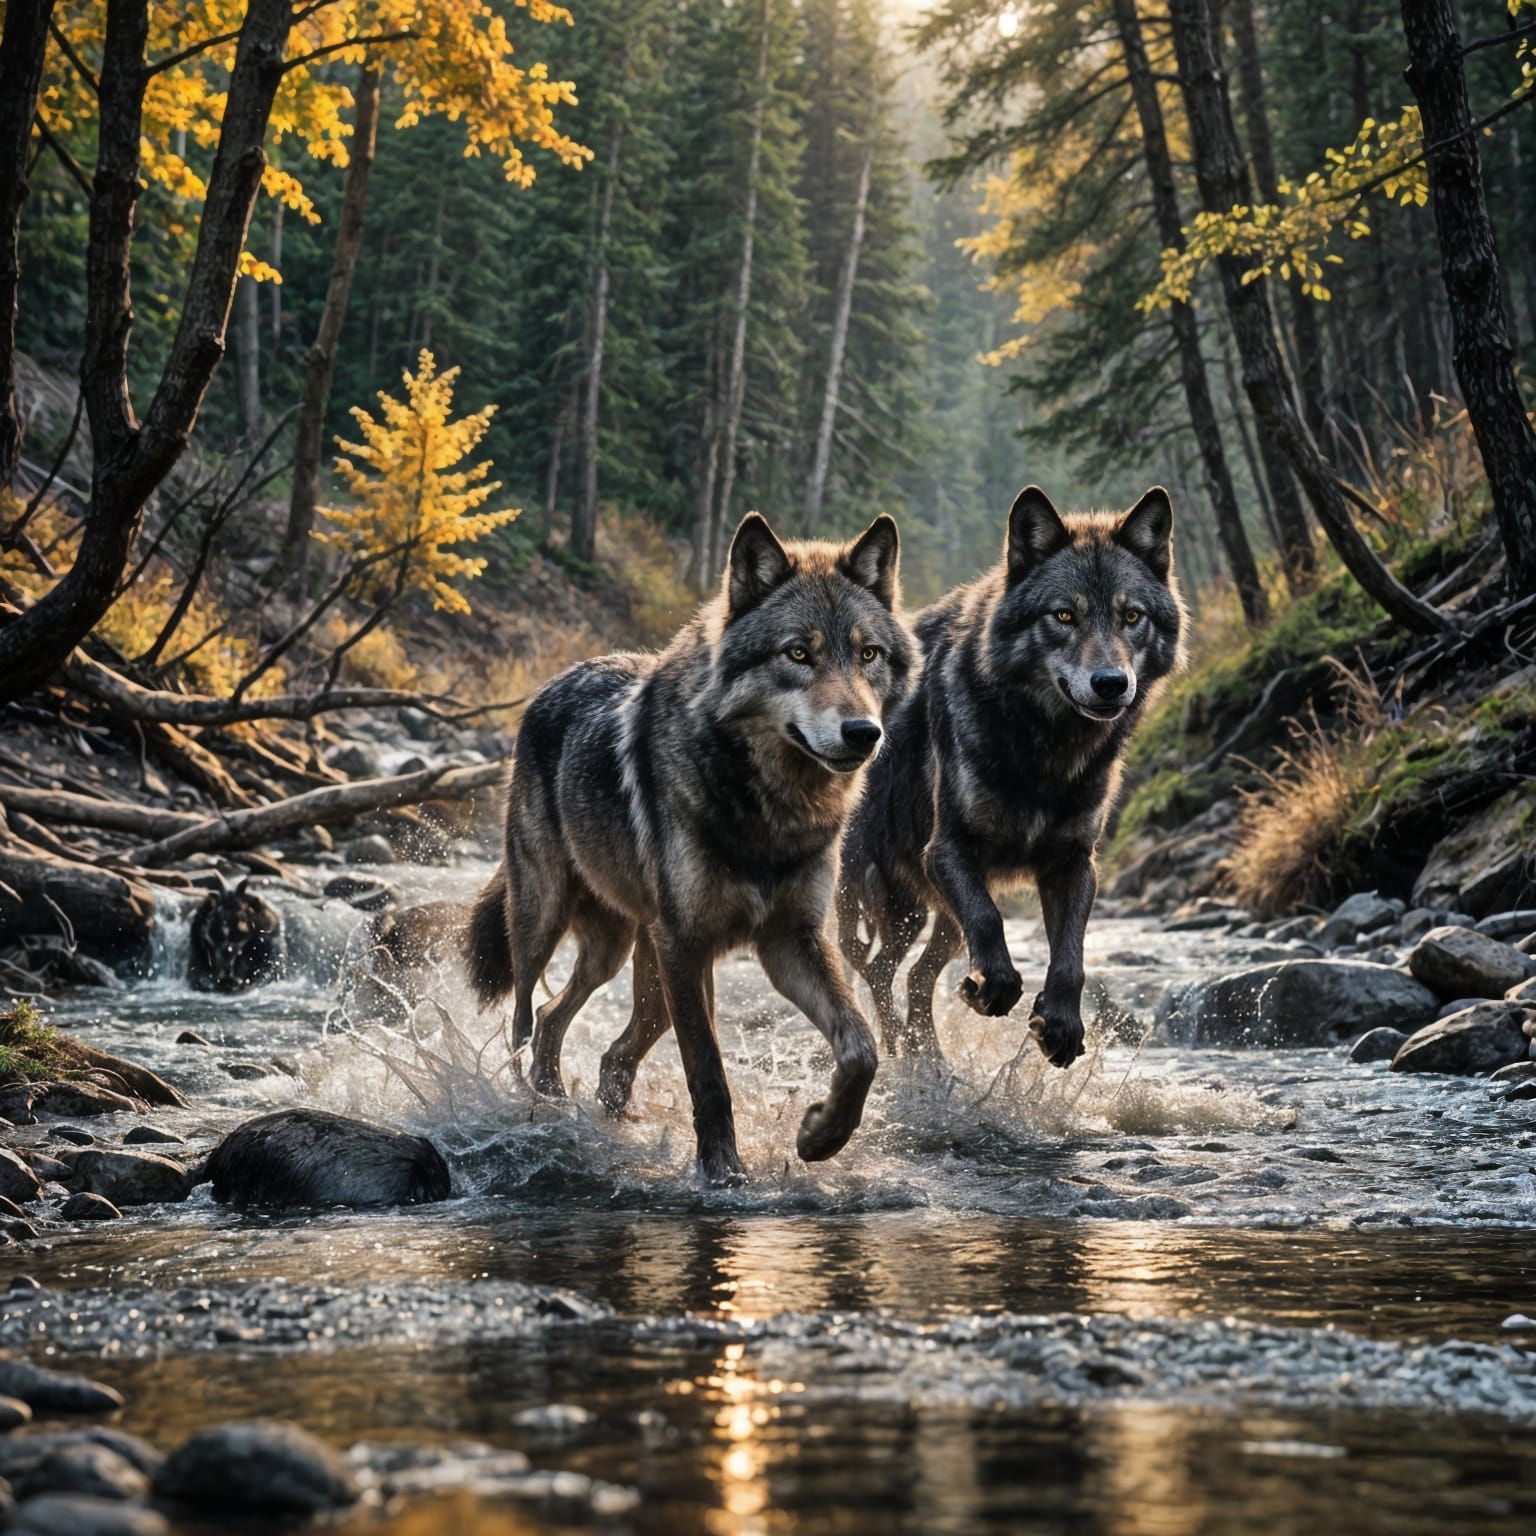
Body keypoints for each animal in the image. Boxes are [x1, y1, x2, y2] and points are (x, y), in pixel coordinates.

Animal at [464, 513, 916, 1182]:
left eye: (868, 654)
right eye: (798, 653)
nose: (864, 733)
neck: (769, 812)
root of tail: (556, 680)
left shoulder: (791, 939)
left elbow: (861, 1048)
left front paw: (821, 1136)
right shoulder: (687, 941)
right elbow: (707, 1069)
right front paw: (723, 1172)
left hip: (627, 955)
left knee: (582, 1035)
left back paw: (573, 1107)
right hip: (548, 923)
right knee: (523, 1020)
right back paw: (530, 1107)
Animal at [838, 485, 1185, 1066]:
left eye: (1131, 616)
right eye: (1063, 615)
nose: (1111, 682)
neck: (1046, 750)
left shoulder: (1073, 862)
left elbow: (1070, 955)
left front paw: (1060, 1024)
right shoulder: (948, 850)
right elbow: (991, 921)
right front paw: (996, 990)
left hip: (935, 919)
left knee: (914, 976)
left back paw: (928, 1055)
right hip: (890, 900)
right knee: (878, 970)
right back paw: (902, 1056)